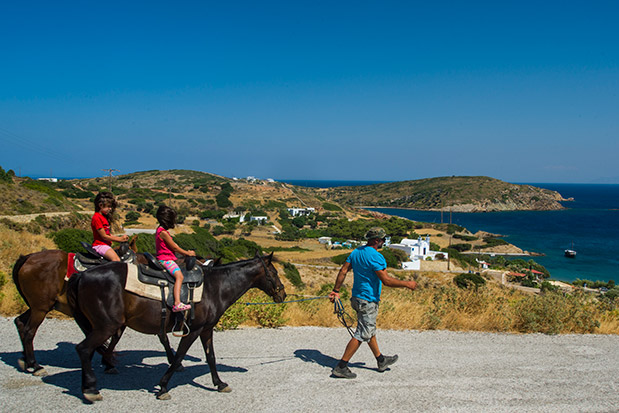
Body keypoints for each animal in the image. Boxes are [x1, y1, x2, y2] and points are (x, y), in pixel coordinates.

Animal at [67, 253, 286, 400]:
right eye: (274, 272)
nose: (282, 294)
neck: (215, 286)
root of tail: (82, 276)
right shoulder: (194, 330)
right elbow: (179, 355)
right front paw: (163, 387)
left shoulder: (206, 329)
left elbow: (211, 357)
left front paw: (220, 383)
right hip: (106, 326)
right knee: (83, 349)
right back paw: (91, 389)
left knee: (87, 350)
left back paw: (89, 384)